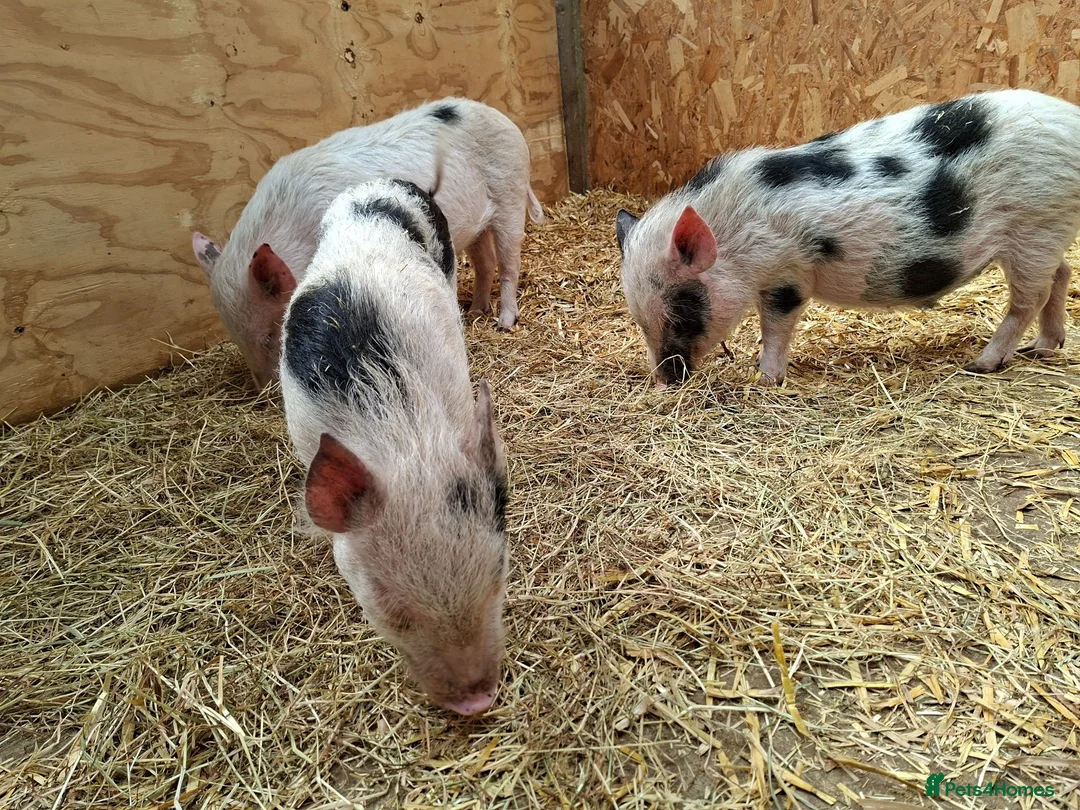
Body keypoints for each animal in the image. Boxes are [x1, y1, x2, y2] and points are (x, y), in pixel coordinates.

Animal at [192, 97, 544, 389]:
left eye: (269, 335)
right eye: (236, 338)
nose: (265, 393)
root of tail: (507, 122)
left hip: (510, 195)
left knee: (510, 262)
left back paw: (504, 322)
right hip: (476, 224)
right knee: (485, 263)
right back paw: (474, 312)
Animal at [615, 89, 1080, 387]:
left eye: (683, 308)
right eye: (638, 318)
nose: (664, 383)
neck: (736, 231)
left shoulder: (788, 273)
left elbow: (776, 326)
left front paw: (764, 380)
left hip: (1035, 226)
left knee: (1029, 298)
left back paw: (982, 364)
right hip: (1046, 232)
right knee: (1062, 273)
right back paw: (1044, 348)